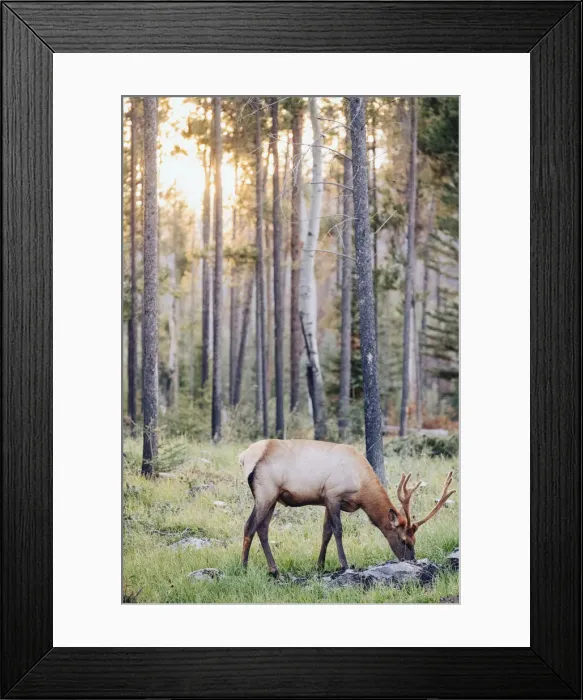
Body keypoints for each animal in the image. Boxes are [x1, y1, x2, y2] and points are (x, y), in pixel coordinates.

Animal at [239, 438, 456, 576]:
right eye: (404, 540)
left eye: (414, 540)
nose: (411, 560)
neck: (361, 488)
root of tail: (243, 457)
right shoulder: (333, 493)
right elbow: (338, 530)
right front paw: (343, 564)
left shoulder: (326, 499)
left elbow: (326, 532)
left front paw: (320, 565)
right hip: (265, 492)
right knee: (250, 525)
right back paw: (244, 567)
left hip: (273, 497)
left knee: (263, 528)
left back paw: (273, 569)